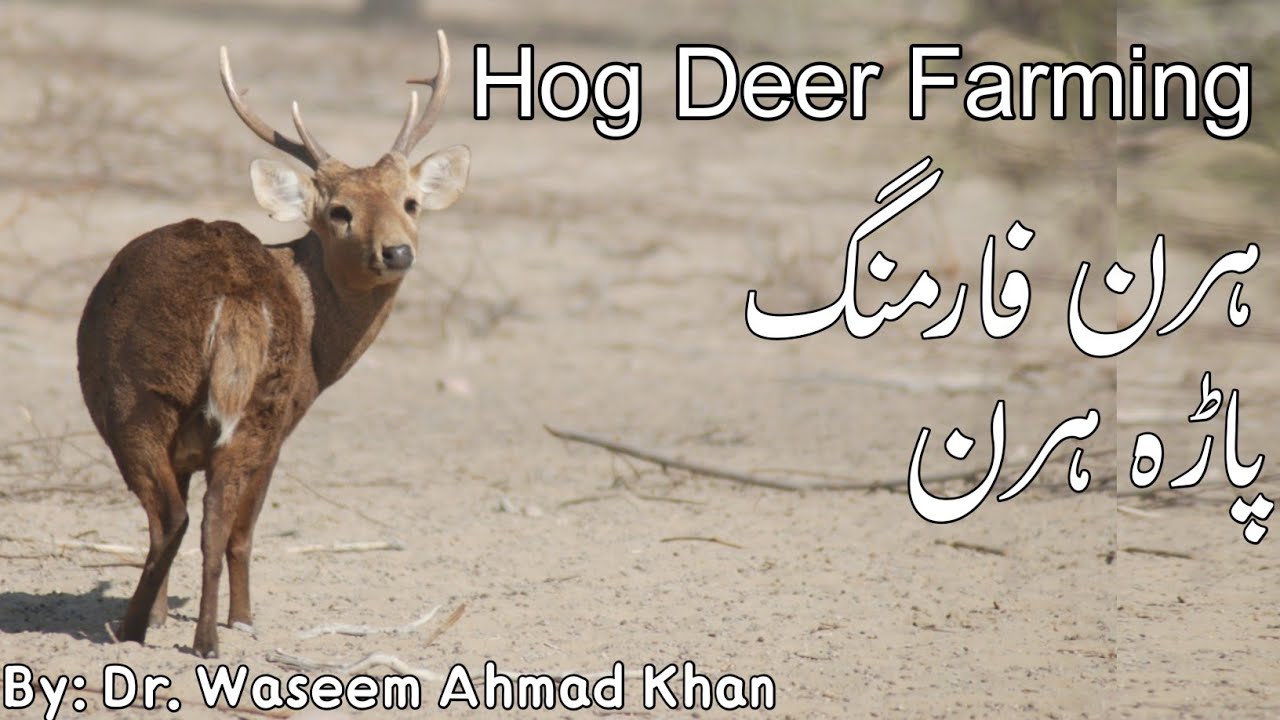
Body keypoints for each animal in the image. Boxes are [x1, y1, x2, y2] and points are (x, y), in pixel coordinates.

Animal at [75, 30, 469, 658]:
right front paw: (229, 619)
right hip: (221, 405)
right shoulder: (285, 419)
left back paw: (171, 632)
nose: (397, 251)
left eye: (410, 203)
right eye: (340, 211)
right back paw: (187, 634)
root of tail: (234, 296)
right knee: (199, 521)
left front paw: (184, 618)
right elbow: (240, 529)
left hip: (153, 402)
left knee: (182, 519)